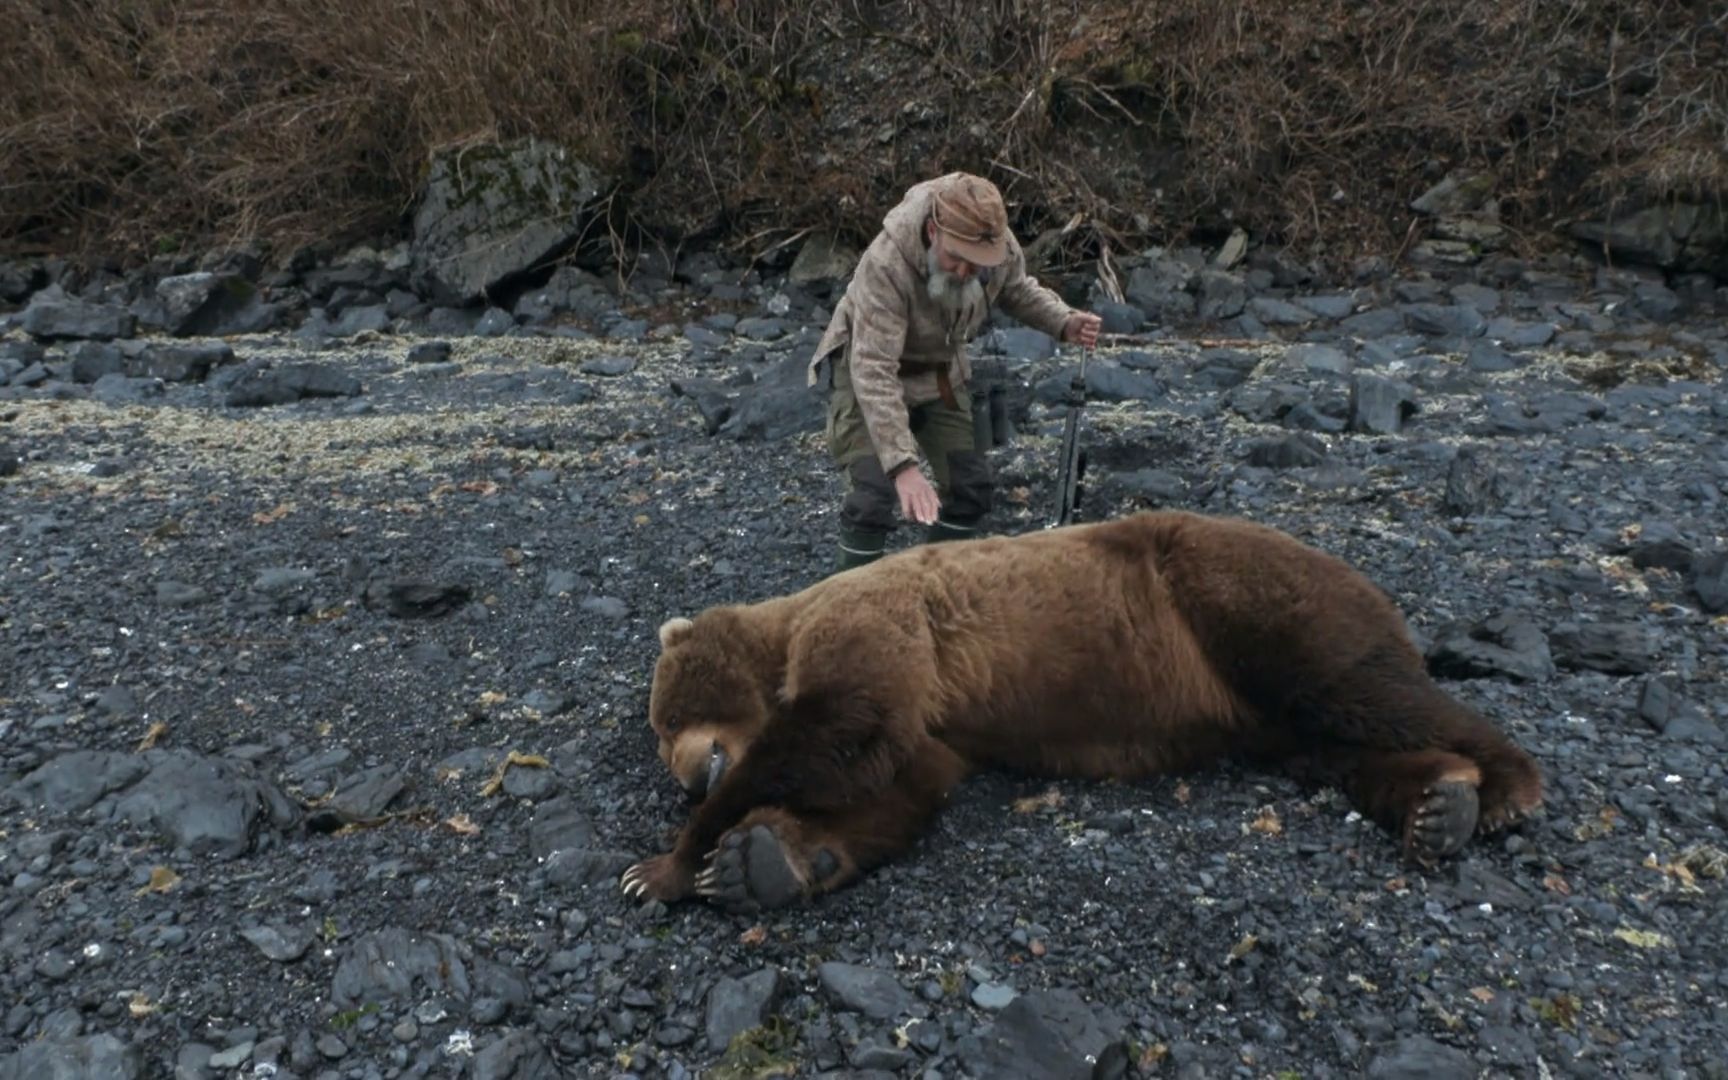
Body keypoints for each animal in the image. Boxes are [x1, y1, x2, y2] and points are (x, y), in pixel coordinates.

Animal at [618, 511, 1541, 912]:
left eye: (664, 722)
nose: (685, 776)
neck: (784, 635)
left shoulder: (875, 621)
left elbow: (847, 727)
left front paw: (669, 864)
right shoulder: (941, 723)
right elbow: (899, 785)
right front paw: (765, 861)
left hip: (1237, 596)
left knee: (1356, 684)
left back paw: (1502, 785)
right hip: (1263, 713)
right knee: (1335, 745)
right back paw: (1438, 802)